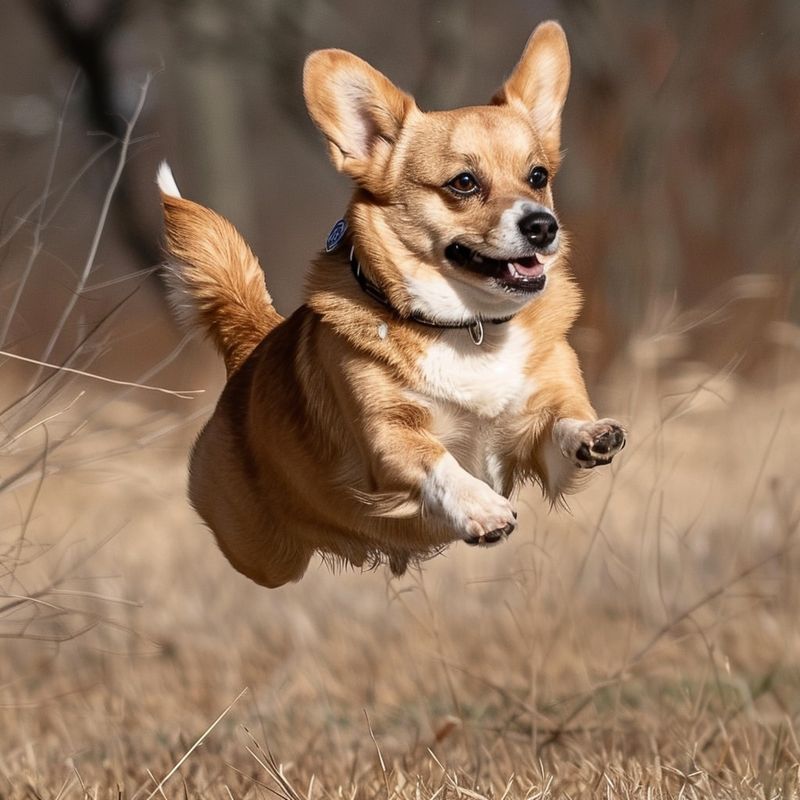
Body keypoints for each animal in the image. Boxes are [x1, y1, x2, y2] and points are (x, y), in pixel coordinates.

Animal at [159, 21, 628, 588]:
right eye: (464, 183)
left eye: (538, 176)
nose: (543, 225)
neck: (467, 327)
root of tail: (254, 345)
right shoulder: (387, 437)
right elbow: (437, 459)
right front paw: (482, 508)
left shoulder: (537, 436)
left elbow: (562, 420)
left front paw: (593, 432)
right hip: (262, 555)